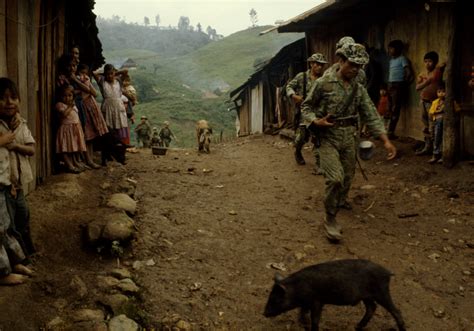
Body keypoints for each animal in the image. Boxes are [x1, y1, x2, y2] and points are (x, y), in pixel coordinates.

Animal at [264, 260, 406, 330]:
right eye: (269, 297)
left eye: (276, 299)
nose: (264, 313)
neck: (297, 288)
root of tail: (387, 272)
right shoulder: (307, 303)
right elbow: (302, 312)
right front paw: (304, 324)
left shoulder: (317, 301)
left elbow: (315, 319)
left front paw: (311, 326)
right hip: (367, 296)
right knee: (372, 307)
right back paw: (357, 327)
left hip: (381, 292)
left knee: (396, 310)